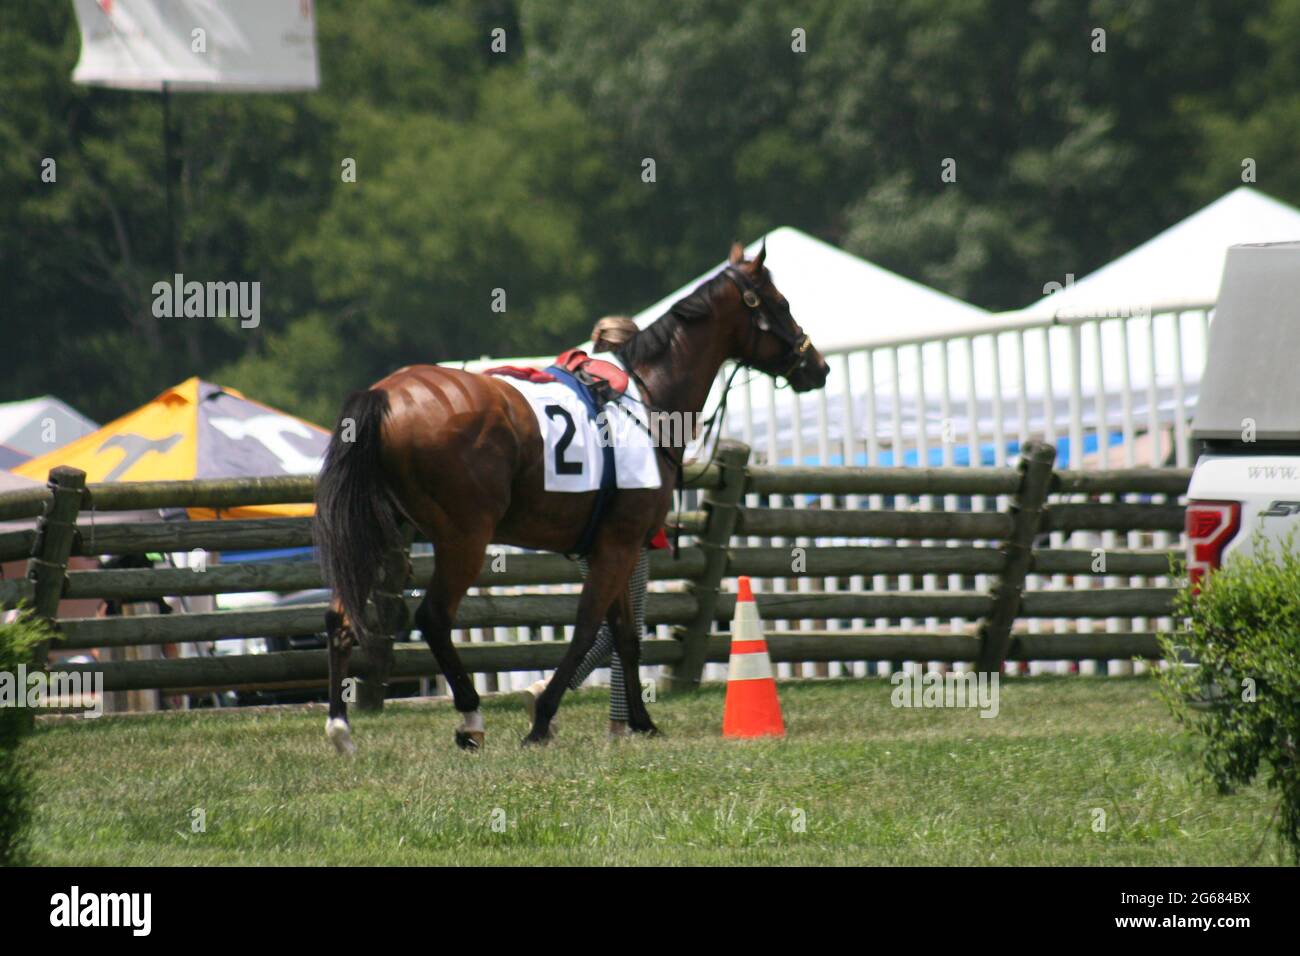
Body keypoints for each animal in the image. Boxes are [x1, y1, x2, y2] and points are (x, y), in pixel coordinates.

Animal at [309, 243, 826, 749]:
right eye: (780, 303)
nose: (817, 367)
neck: (648, 396)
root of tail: (384, 394)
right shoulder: (618, 545)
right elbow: (587, 630)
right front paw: (542, 718)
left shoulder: (613, 547)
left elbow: (624, 636)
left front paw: (641, 721)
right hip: (464, 539)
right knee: (434, 617)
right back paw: (470, 717)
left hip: (380, 532)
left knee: (341, 619)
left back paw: (340, 726)